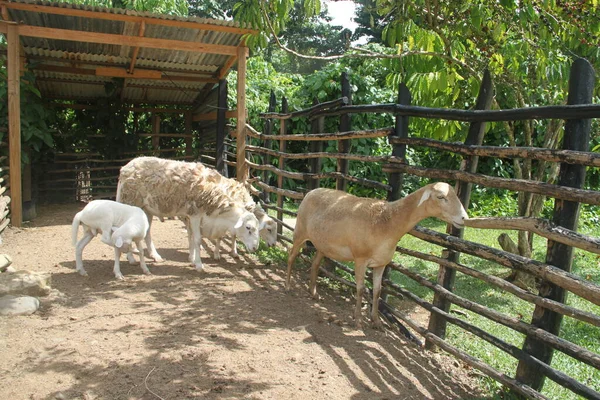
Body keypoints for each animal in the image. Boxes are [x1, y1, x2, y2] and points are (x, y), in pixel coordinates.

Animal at [286, 183, 468, 330]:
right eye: (441, 197)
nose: (464, 218)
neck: (388, 222)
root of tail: (311, 191)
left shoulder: (381, 263)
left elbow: (378, 291)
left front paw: (377, 321)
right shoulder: (360, 259)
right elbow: (360, 289)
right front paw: (358, 320)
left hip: (323, 244)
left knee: (315, 264)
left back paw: (314, 293)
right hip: (300, 232)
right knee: (291, 256)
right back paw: (288, 286)